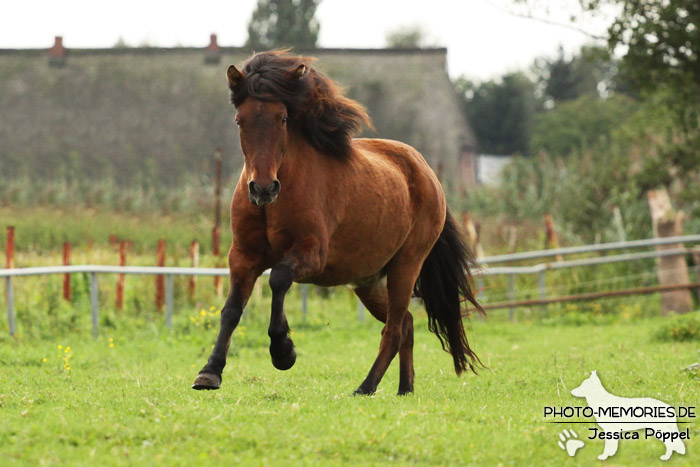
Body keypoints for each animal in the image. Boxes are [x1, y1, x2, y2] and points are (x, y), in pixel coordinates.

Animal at [194, 50, 484, 394]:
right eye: (240, 120)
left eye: (283, 118)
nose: (263, 189)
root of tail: (427, 172)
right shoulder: (243, 255)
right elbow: (231, 310)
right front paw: (209, 372)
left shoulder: (312, 253)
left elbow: (278, 278)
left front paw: (283, 351)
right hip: (369, 281)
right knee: (406, 324)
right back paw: (404, 388)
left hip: (406, 267)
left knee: (394, 329)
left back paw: (366, 386)